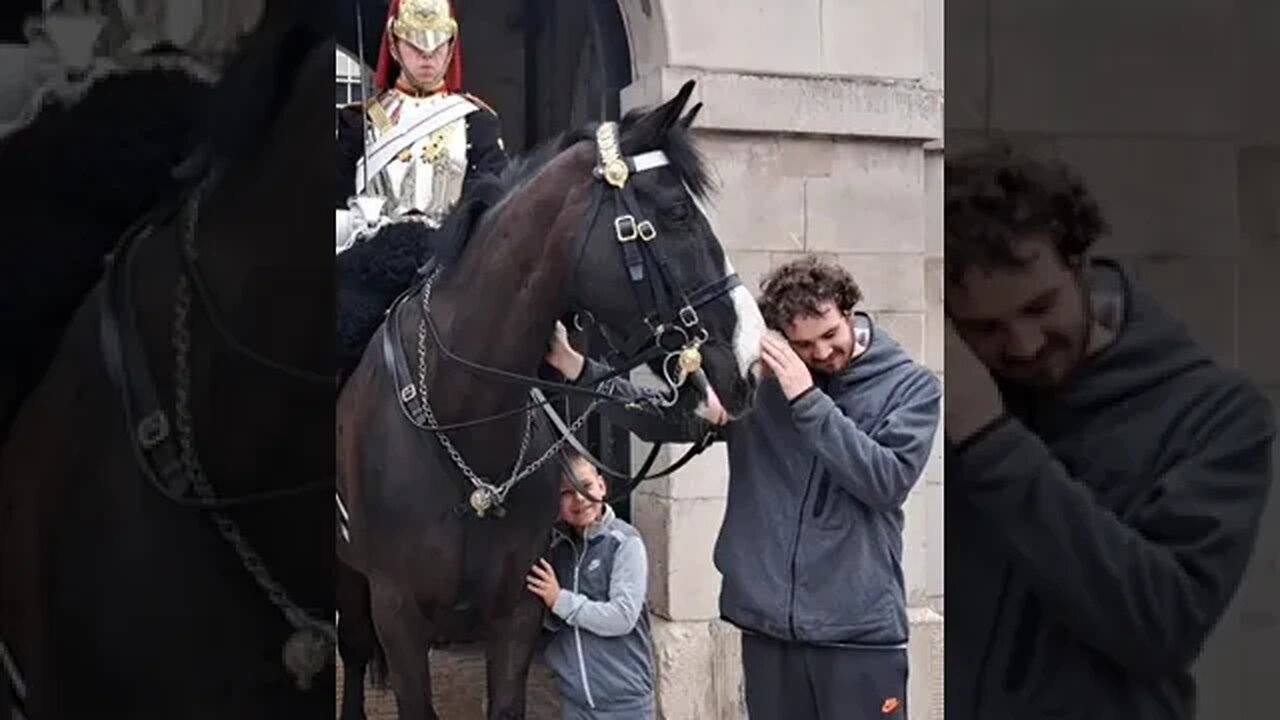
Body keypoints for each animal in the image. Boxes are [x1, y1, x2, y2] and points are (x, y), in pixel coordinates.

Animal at [335, 81, 762, 712]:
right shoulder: (399, 611)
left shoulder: (517, 608)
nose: (749, 360)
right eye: (677, 214)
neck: (464, 420)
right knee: (353, 643)